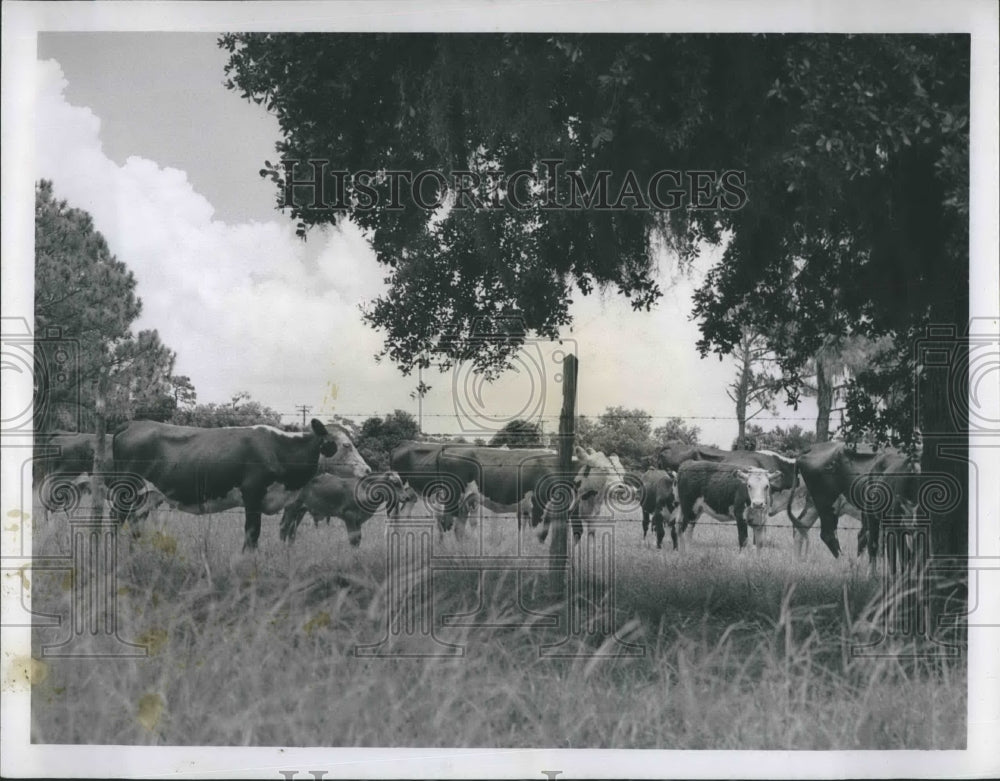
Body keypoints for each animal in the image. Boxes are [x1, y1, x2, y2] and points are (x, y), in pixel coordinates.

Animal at [112, 418, 372, 552]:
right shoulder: (252, 494)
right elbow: (252, 534)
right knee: (117, 520)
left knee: (135, 523)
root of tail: (134, 424)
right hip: (126, 490)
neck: (278, 449)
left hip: (149, 496)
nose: (368, 469)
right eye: (346, 445)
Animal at [280, 470, 408, 548]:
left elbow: (358, 539)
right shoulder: (349, 516)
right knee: (284, 528)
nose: (406, 497)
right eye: (395, 483)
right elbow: (353, 539)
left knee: (292, 531)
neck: (363, 490)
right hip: (291, 509)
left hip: (300, 511)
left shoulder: (358, 520)